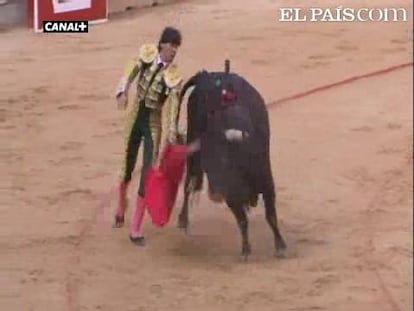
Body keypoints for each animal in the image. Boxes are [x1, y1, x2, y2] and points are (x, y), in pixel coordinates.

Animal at [176, 67, 286, 260]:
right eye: (208, 167)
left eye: (227, 162)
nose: (216, 195)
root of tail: (207, 74)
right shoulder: (231, 194)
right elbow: (242, 220)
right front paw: (246, 250)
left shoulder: (266, 182)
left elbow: (271, 215)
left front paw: (280, 246)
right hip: (192, 148)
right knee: (189, 184)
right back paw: (183, 220)